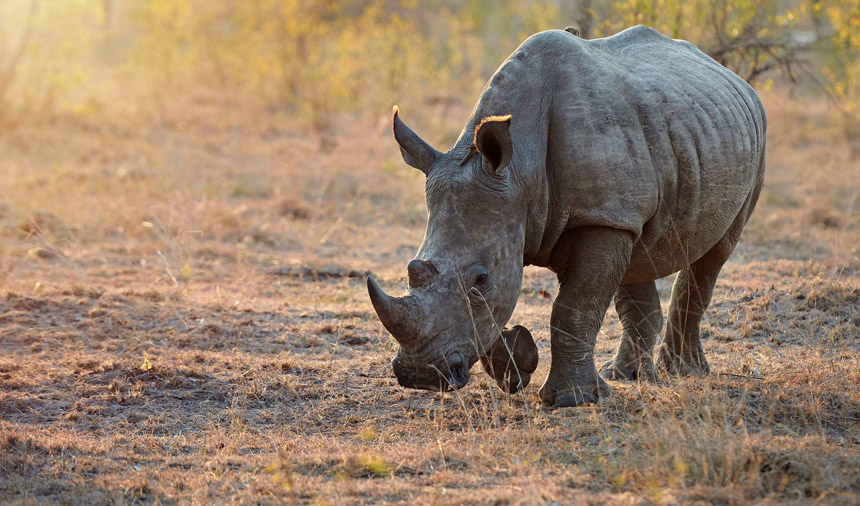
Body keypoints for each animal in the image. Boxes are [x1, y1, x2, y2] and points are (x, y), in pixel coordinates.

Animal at [367, 25, 766, 407]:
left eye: (481, 279)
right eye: (412, 270)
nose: (419, 375)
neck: (519, 172)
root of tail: (734, 78)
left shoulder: (599, 217)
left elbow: (573, 308)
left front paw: (571, 399)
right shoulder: (557, 213)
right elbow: (503, 308)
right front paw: (517, 363)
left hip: (752, 139)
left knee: (715, 253)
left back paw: (686, 372)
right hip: (665, 148)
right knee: (639, 253)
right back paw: (628, 376)